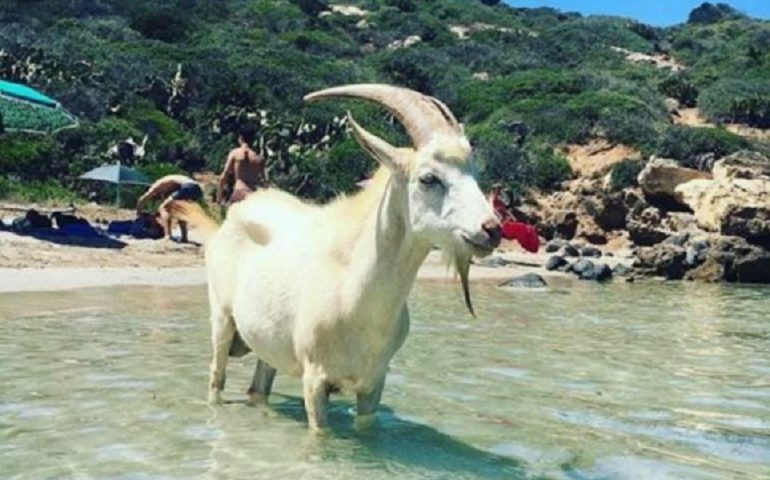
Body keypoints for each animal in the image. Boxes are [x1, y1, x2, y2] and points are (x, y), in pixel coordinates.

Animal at [171, 84, 500, 430]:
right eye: (428, 178)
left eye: (475, 173)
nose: (492, 230)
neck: (356, 290)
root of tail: (229, 220)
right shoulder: (315, 379)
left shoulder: (373, 383)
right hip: (221, 321)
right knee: (216, 378)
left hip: (266, 343)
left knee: (258, 388)